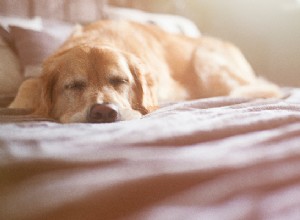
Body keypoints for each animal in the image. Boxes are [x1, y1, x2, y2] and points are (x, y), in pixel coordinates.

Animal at [9, 20, 282, 124]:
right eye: (74, 85)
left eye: (120, 81)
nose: (104, 112)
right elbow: (28, 83)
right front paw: (17, 105)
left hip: (205, 62)